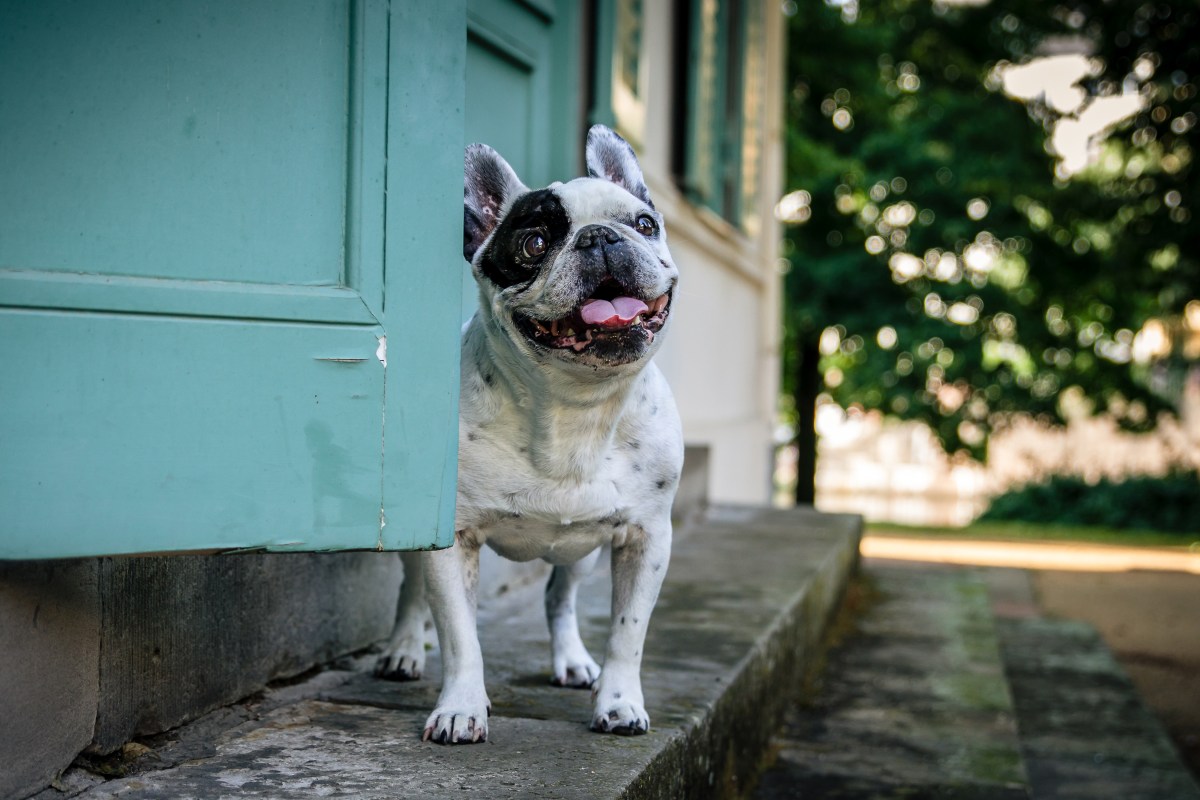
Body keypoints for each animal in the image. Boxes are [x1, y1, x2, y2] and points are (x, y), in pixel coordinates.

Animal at [374, 125, 681, 743]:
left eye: (643, 224)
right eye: (534, 243)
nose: (599, 237)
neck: (574, 405)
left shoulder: (646, 539)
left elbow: (627, 633)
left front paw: (619, 703)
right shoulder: (451, 540)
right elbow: (460, 637)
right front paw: (460, 707)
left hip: (583, 550)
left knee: (559, 596)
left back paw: (572, 661)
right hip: (417, 534)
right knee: (412, 591)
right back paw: (403, 650)